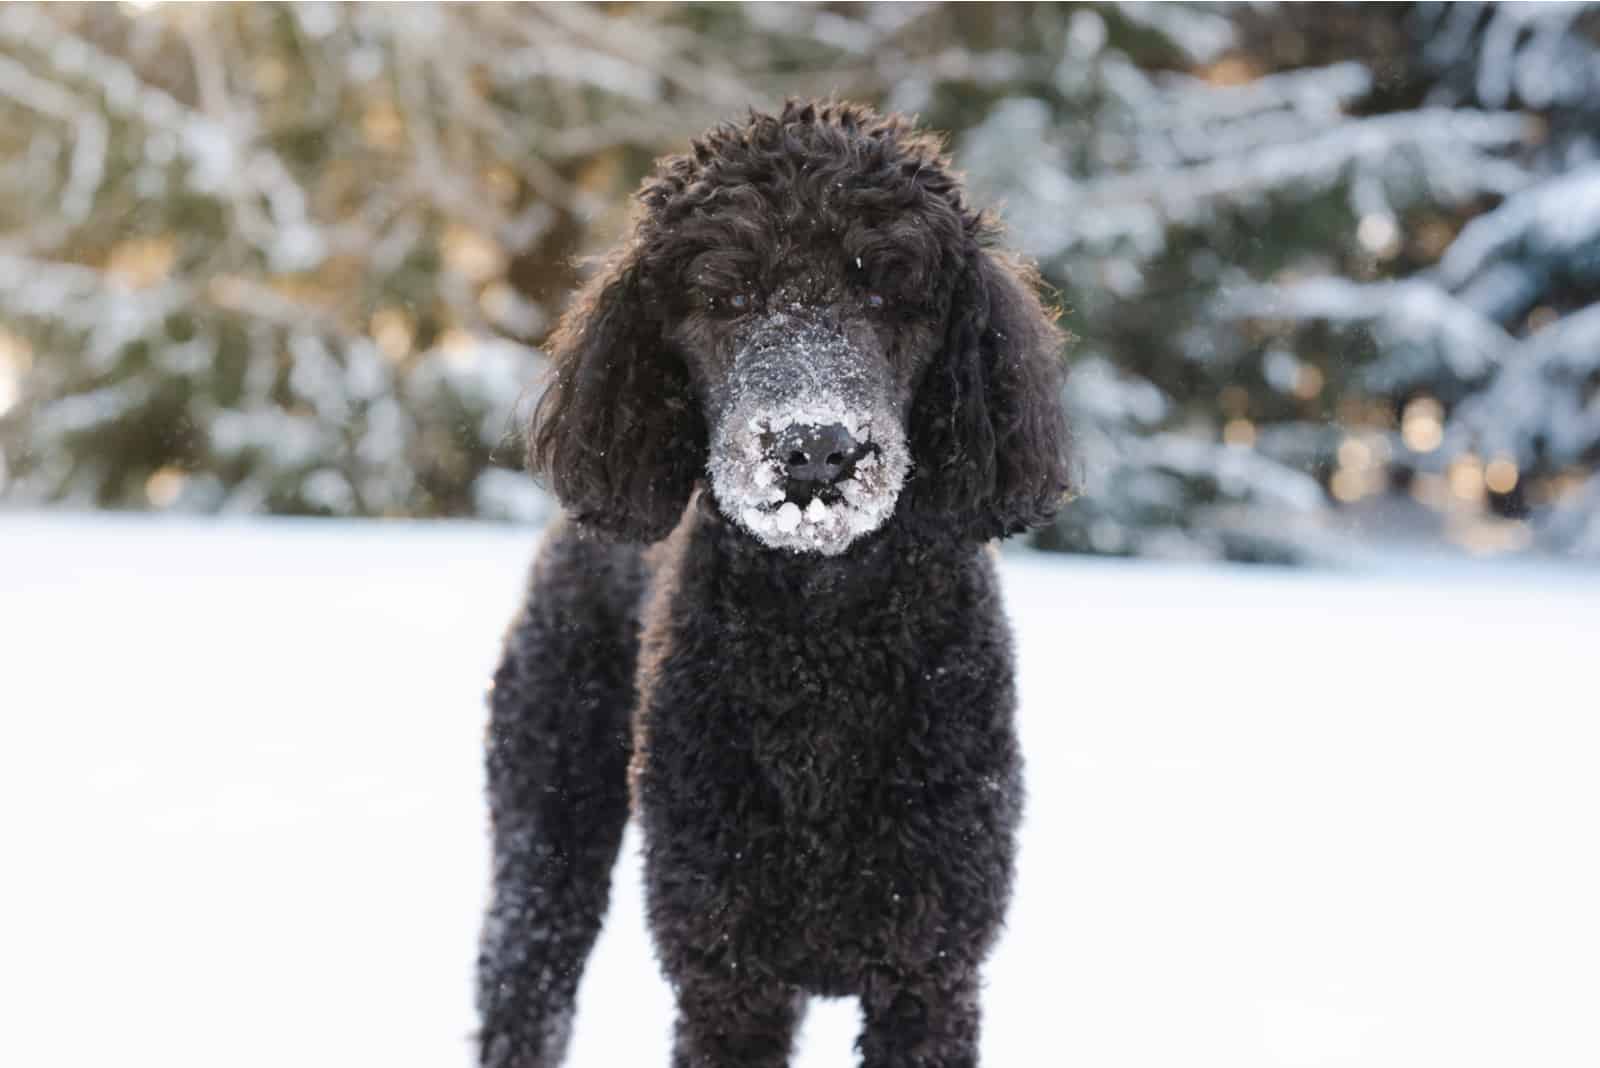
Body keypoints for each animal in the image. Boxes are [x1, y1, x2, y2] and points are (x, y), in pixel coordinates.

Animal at [480, 99, 1068, 1068]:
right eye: (726, 297)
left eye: (888, 291)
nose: (816, 450)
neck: (822, 652)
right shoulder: (726, 974)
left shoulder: (928, 972)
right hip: (548, 823)